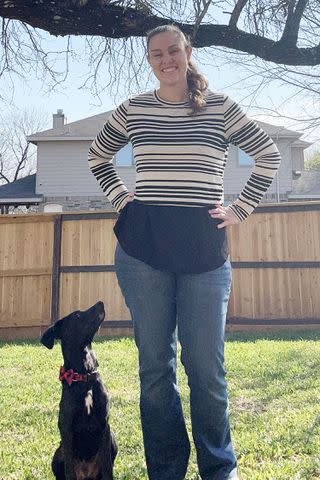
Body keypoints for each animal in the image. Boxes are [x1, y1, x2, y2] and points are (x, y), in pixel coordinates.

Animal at [41, 302, 117, 480]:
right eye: (76, 315)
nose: (101, 302)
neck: (85, 375)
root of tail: (86, 474)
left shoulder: (105, 426)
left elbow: (108, 469)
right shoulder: (67, 429)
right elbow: (69, 470)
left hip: (112, 438)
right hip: (58, 453)